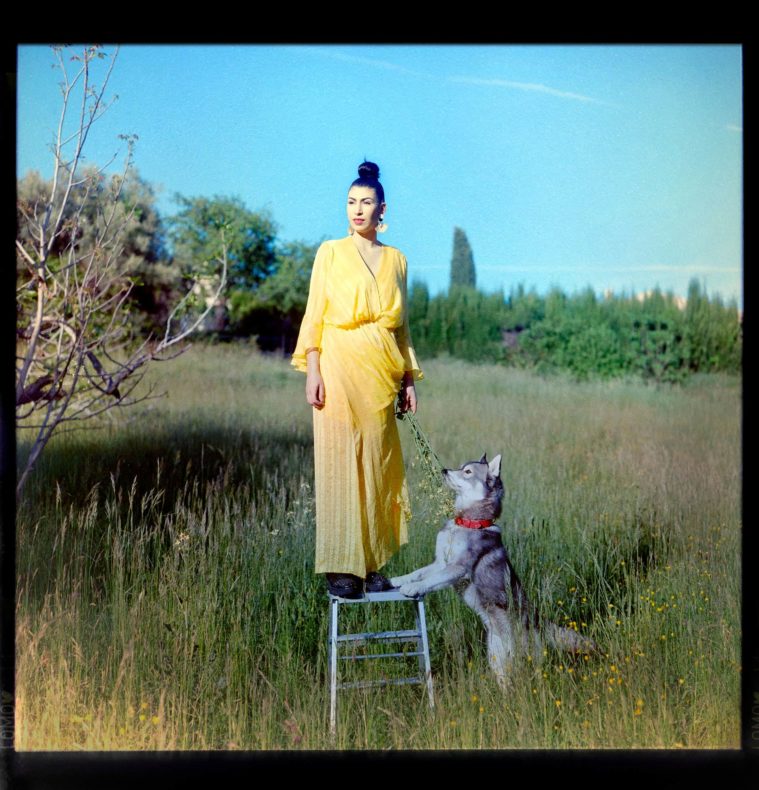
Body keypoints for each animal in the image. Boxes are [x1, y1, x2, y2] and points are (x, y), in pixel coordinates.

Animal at [392, 454, 600, 688]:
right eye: (461, 467)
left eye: (467, 472)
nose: (444, 470)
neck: (468, 522)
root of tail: (539, 621)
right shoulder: (440, 563)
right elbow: (419, 572)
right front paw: (399, 580)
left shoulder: (457, 568)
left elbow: (431, 580)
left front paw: (413, 588)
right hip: (497, 660)